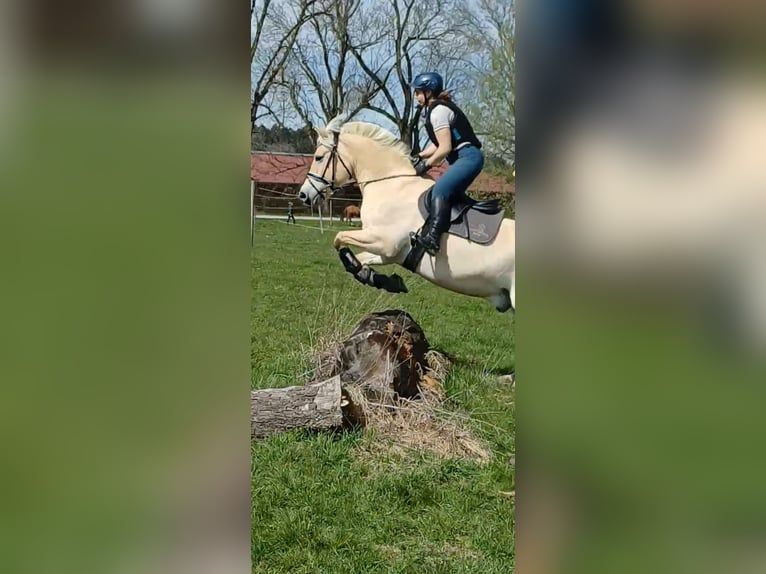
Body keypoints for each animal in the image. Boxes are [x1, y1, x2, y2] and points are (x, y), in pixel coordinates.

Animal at [297, 114, 515, 312]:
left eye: (318, 157)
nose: (303, 195)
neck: (391, 183)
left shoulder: (385, 242)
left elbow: (339, 238)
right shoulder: (390, 253)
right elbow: (358, 258)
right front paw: (380, 279)